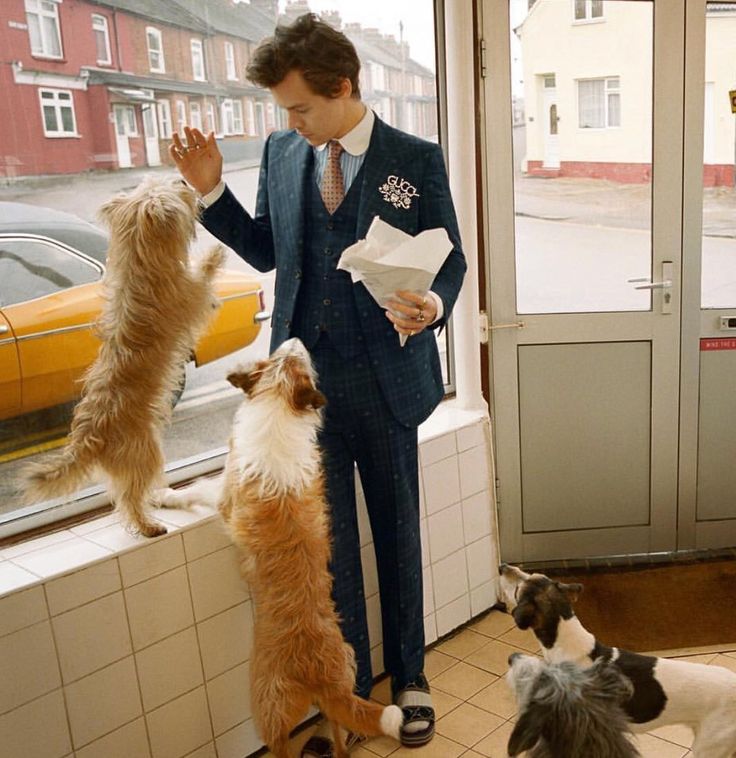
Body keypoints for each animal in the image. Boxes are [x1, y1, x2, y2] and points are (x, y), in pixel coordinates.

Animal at [23, 175, 224, 536]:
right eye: (173, 187)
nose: (183, 178)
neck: (140, 259)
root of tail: (90, 436)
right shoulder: (192, 295)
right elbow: (203, 276)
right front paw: (214, 253)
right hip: (147, 451)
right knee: (129, 498)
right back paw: (148, 525)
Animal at [156, 342, 406, 756]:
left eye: (297, 362)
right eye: (278, 359)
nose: (294, 341)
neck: (278, 401)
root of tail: (318, 671)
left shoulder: (225, 496)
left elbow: (196, 490)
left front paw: (164, 496)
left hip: (267, 707)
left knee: (280, 745)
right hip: (343, 679)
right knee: (339, 734)